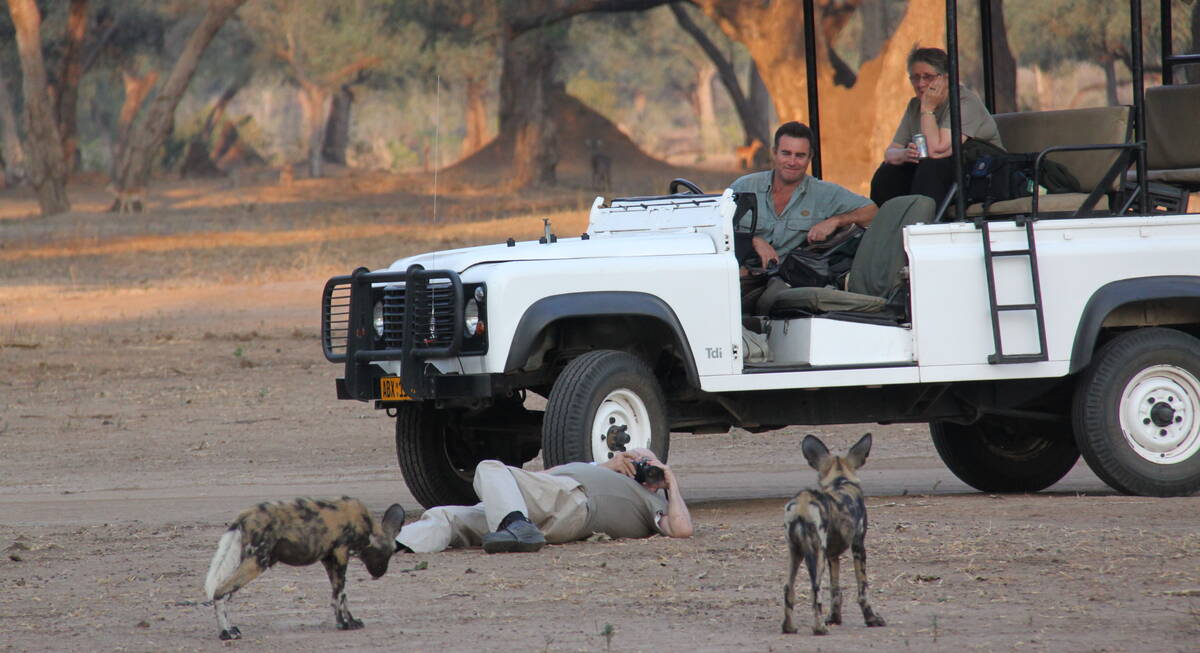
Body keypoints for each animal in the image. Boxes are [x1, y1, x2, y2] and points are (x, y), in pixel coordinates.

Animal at [204, 496, 405, 638]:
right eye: (388, 554)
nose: (380, 573)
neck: (368, 527)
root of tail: (244, 515)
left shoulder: (329, 559)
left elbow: (339, 595)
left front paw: (349, 621)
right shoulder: (341, 555)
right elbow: (340, 594)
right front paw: (344, 624)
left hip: (246, 562)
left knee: (224, 593)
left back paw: (231, 629)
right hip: (256, 563)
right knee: (220, 591)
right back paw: (226, 634)